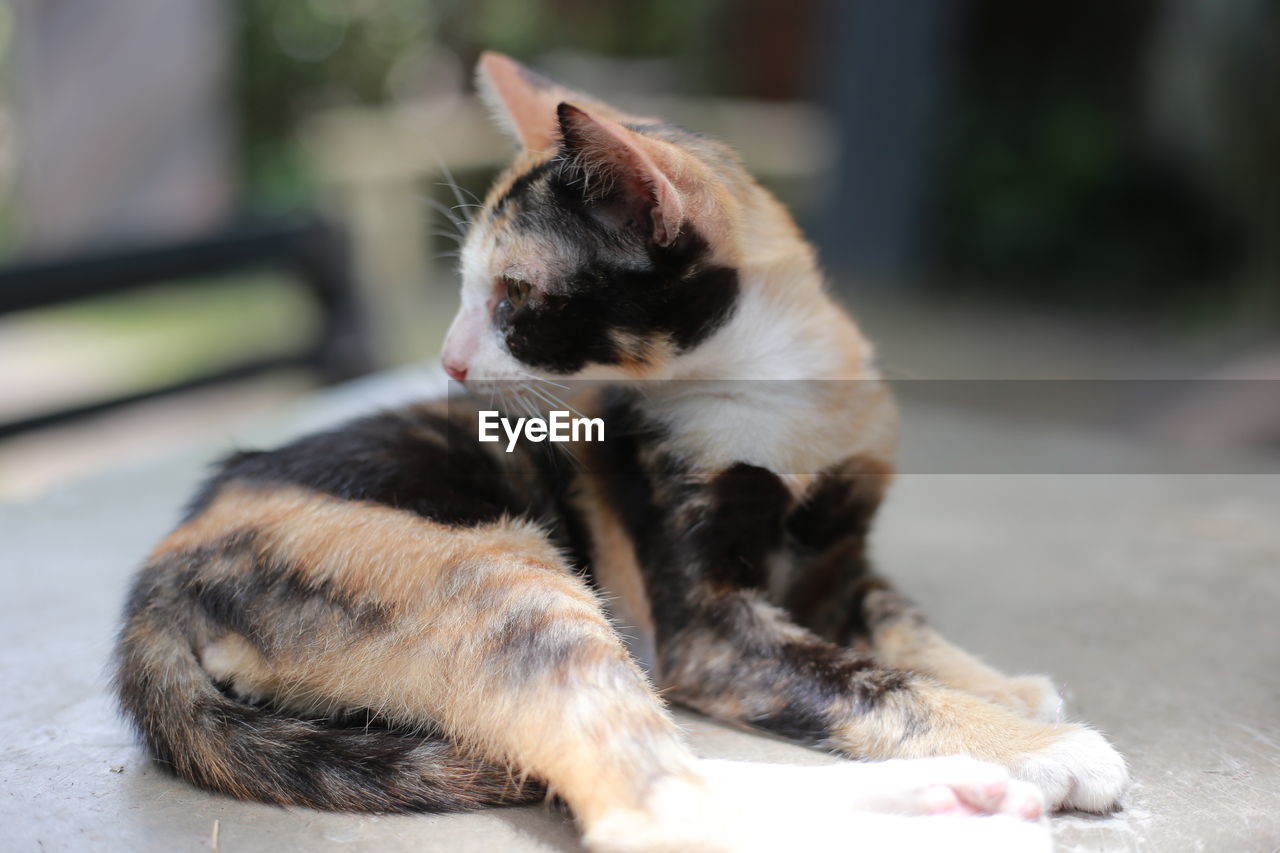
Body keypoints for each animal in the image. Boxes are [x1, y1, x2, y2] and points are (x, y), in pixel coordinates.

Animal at [115, 51, 1126, 845]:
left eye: (513, 298)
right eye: (471, 291)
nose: (448, 360)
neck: (774, 393)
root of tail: (162, 569)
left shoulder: (843, 557)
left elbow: (902, 624)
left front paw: (1007, 690)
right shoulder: (709, 633)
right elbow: (865, 678)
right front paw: (1040, 743)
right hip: (512, 579)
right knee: (652, 801)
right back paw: (965, 796)